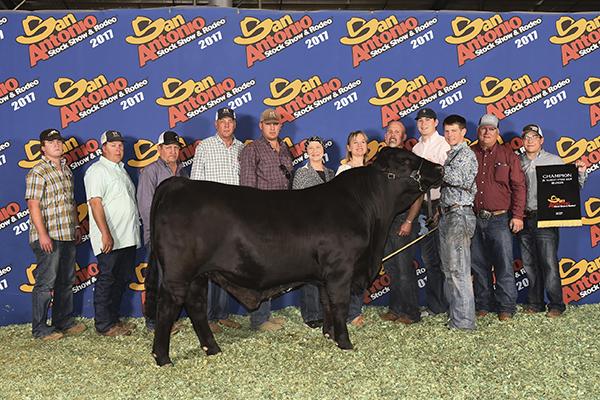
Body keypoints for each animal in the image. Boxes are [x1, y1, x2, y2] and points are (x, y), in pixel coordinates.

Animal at [146, 148, 442, 366]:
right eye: (406, 160)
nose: (440, 168)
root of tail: (179, 183)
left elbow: (326, 304)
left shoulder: (324, 276)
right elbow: (340, 304)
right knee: (168, 307)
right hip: (178, 274)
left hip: (198, 275)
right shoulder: (340, 269)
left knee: (196, 306)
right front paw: (345, 342)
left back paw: (212, 348)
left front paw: (329, 335)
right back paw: (162, 358)